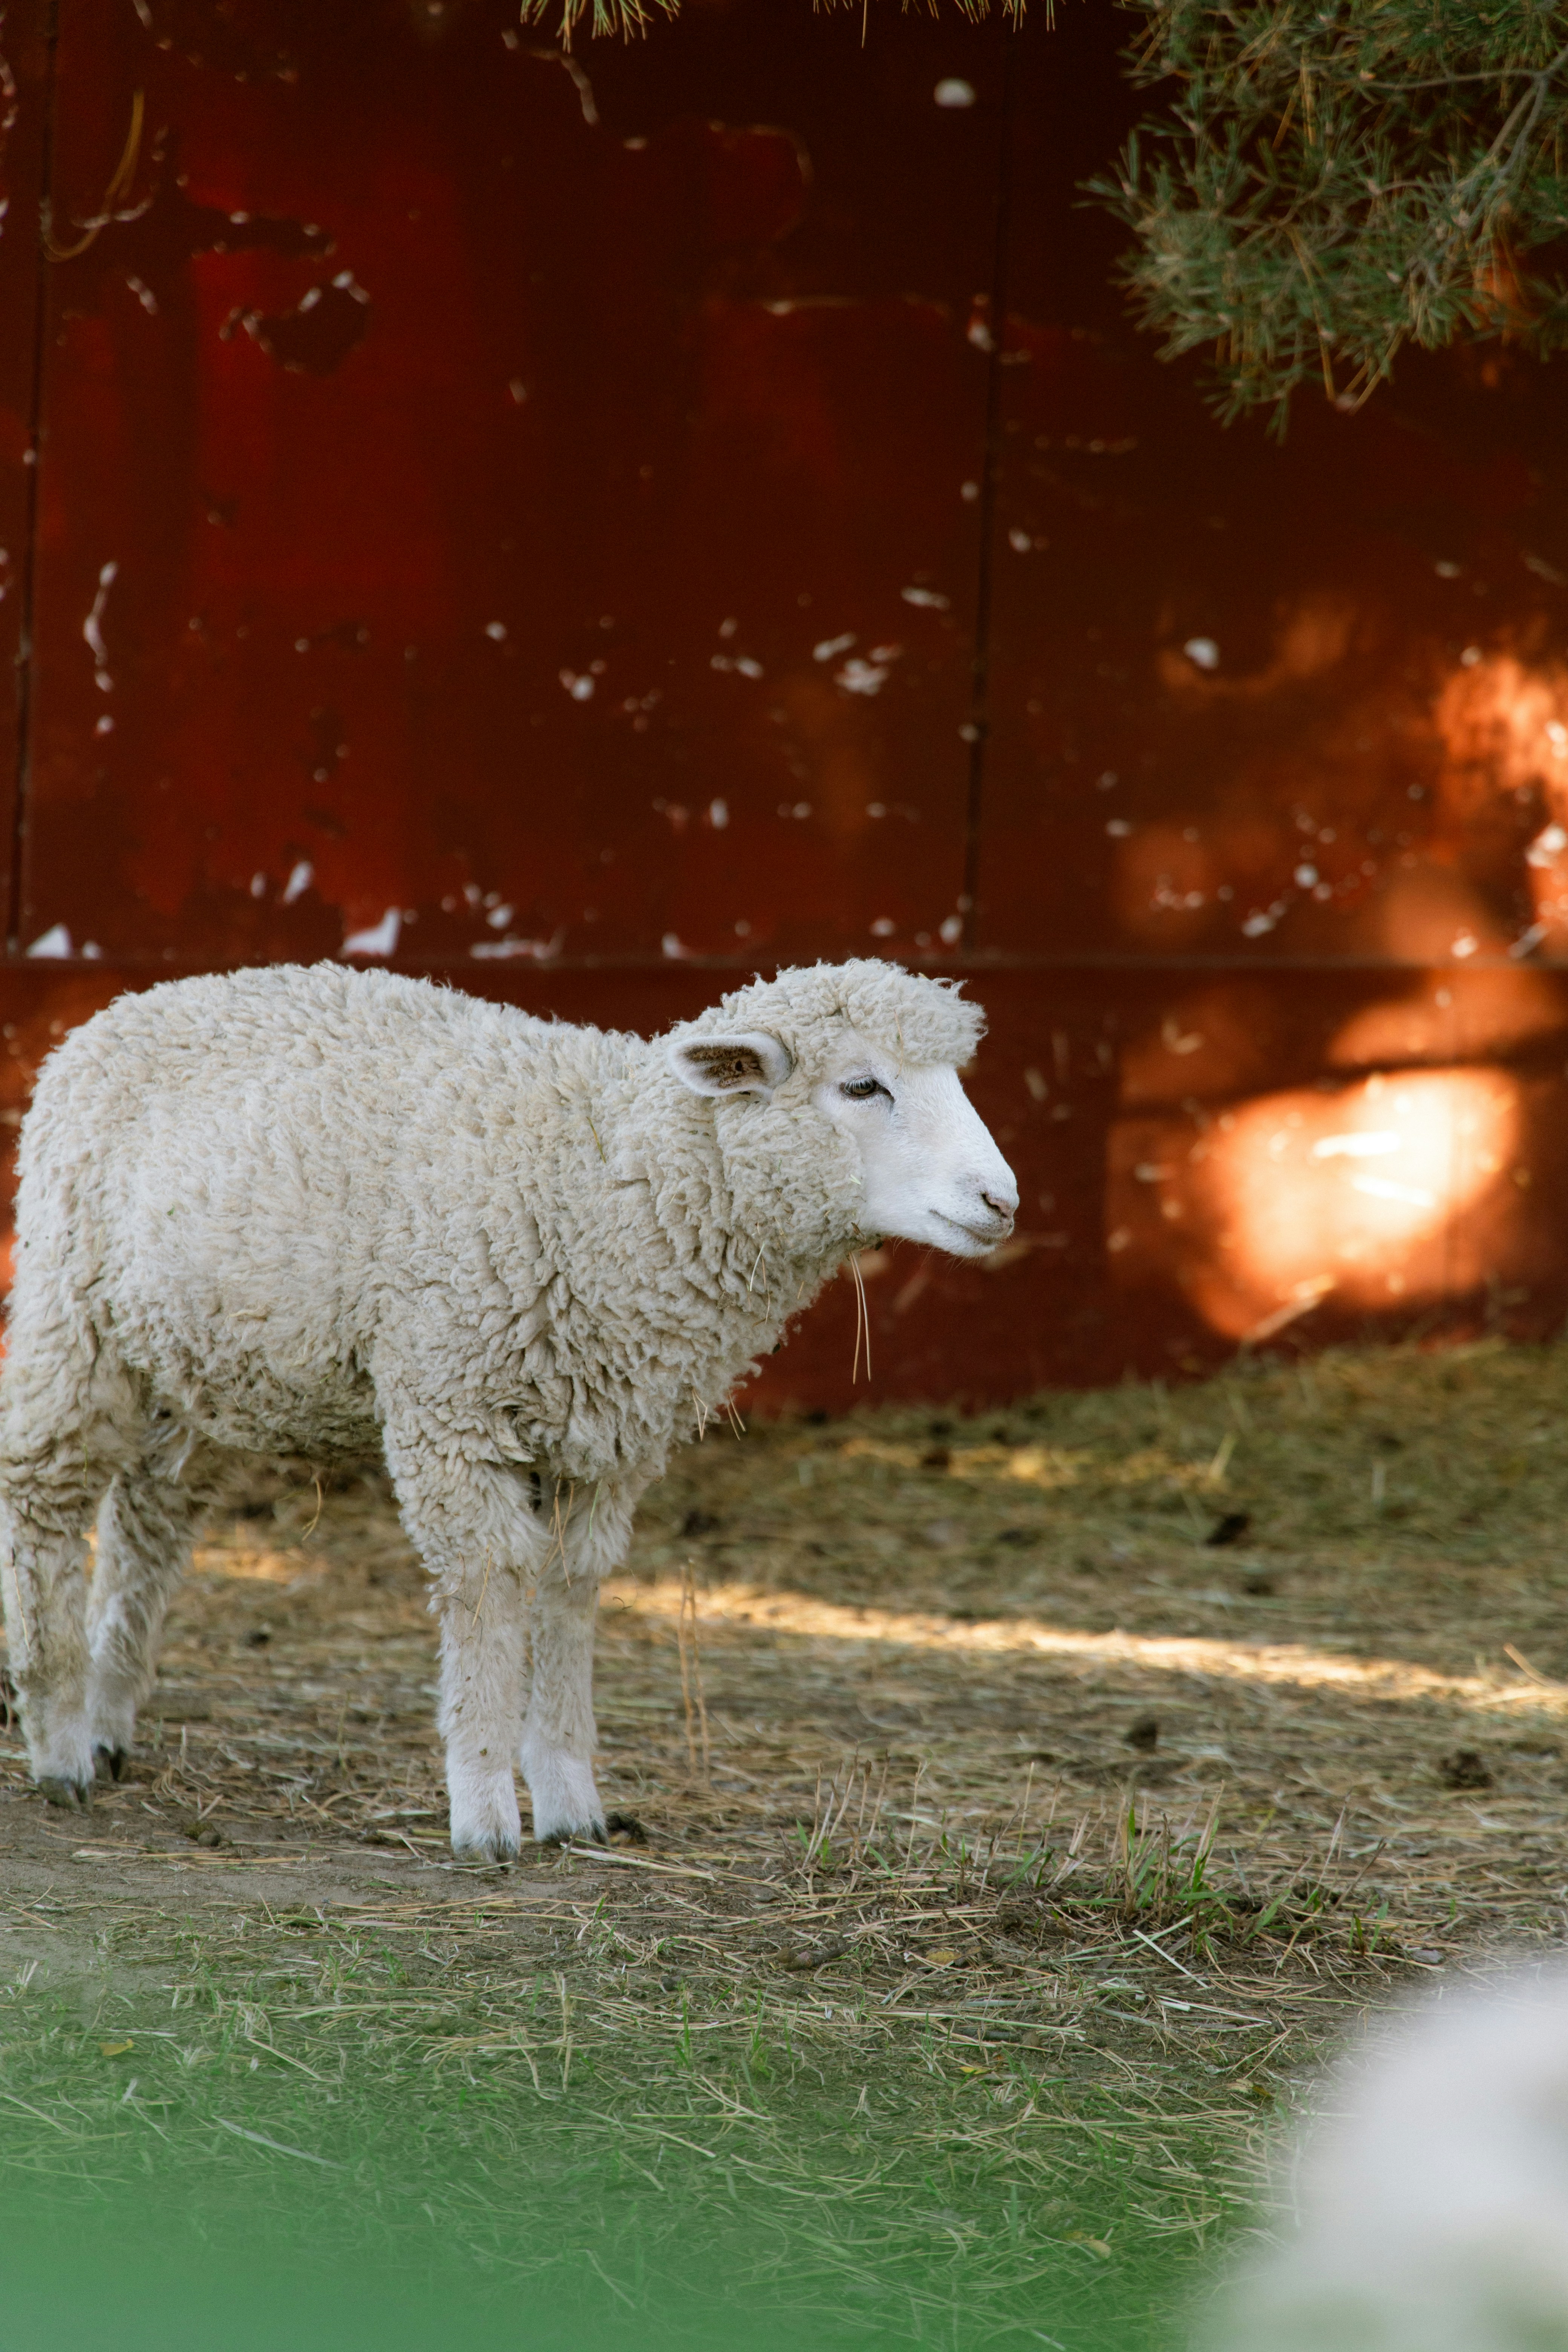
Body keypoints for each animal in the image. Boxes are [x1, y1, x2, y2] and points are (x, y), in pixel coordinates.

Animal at [0, 957, 1017, 1859]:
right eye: (861, 1085)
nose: (1001, 1200)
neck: (606, 1179)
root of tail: (129, 1004)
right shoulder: (452, 1403)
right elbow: (490, 1584)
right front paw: (485, 1808)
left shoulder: (604, 1441)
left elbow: (569, 1589)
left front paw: (571, 1800)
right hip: (74, 1306)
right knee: (44, 1495)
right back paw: (56, 1735)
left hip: (199, 1361)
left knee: (149, 1517)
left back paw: (106, 1717)